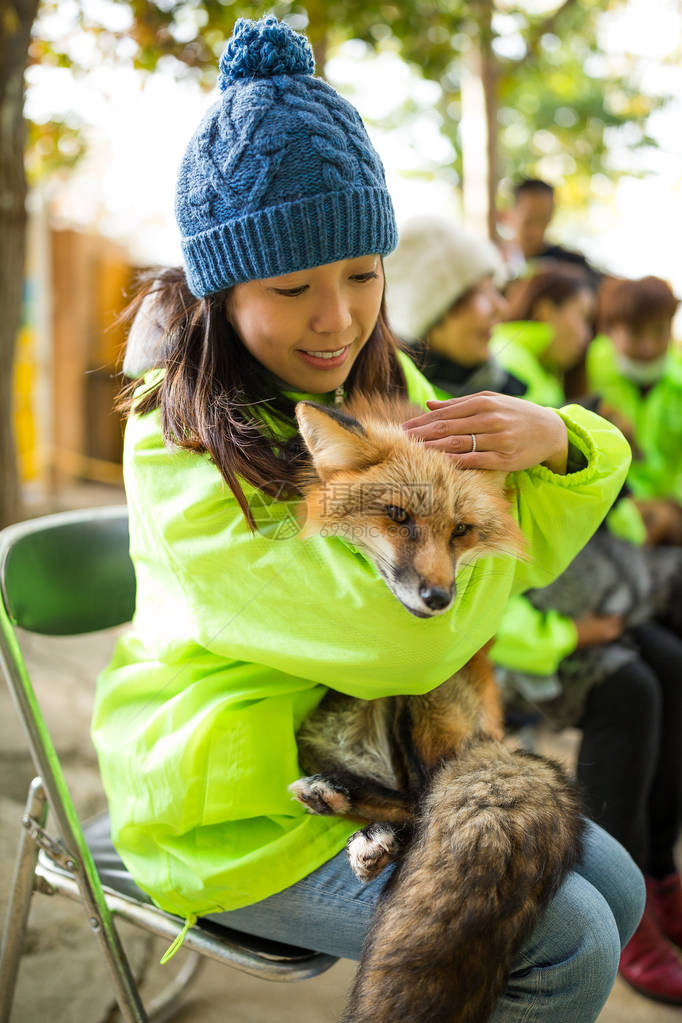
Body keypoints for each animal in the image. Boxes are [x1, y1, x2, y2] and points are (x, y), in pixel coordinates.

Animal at [290, 394, 584, 1023]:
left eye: (462, 531)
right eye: (398, 516)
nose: (441, 599)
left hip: (424, 703)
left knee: (422, 801)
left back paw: (362, 826)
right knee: (412, 801)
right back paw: (352, 813)